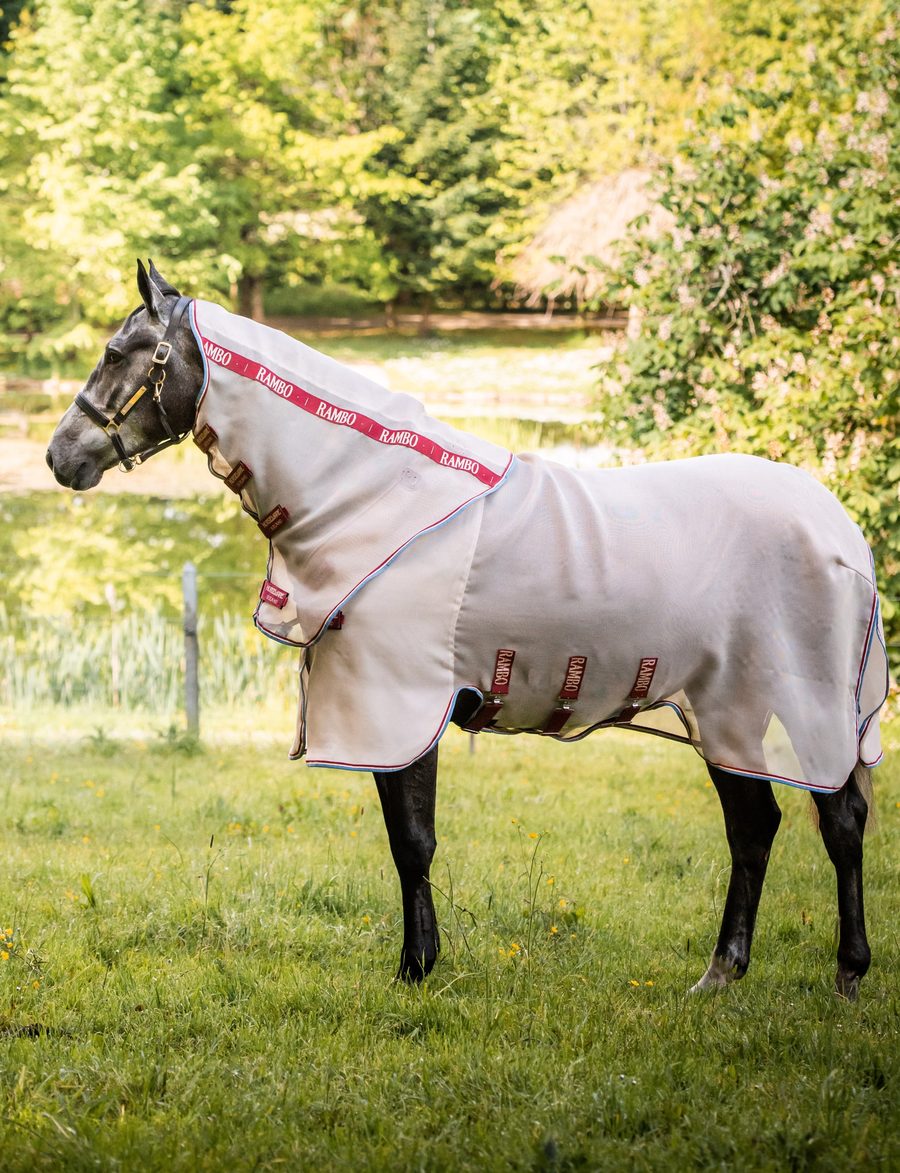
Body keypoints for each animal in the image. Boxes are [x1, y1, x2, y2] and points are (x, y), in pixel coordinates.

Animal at [47, 261, 887, 1000]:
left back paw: (847, 972)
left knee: (837, 823)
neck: (377, 495)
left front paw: (415, 968)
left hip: (790, 706)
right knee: (757, 826)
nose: (60, 455)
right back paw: (722, 974)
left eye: (118, 353)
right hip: (728, 712)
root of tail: (841, 531)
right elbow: (410, 838)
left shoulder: (399, 705)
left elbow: (410, 840)